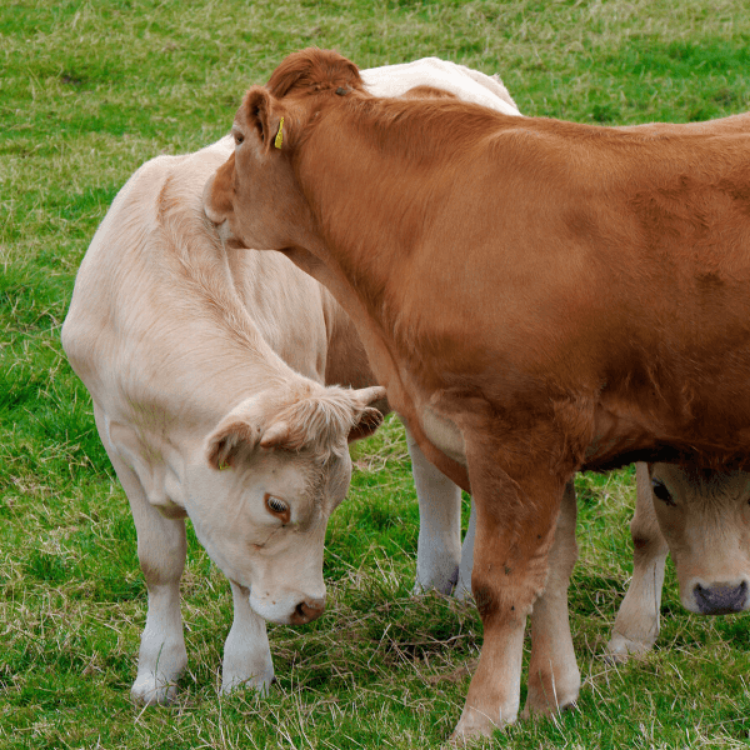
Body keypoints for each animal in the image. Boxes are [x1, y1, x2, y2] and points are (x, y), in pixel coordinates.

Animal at [204, 50, 750, 744]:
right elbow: (551, 570)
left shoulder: (517, 434)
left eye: (238, 140)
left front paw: (483, 714)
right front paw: (551, 695)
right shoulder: (533, 446)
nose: (209, 196)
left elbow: (502, 584)